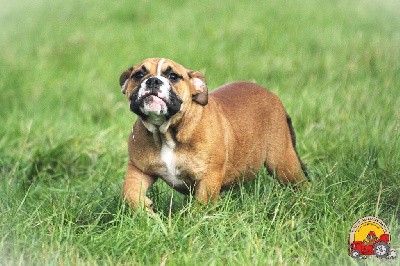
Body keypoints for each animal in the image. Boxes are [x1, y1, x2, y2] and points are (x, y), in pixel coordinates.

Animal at [119, 58, 310, 210]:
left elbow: (201, 206)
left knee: (300, 183)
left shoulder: (208, 177)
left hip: (282, 163)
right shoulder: (138, 168)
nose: (152, 81)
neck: (165, 132)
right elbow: (129, 192)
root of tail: (274, 97)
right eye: (138, 74)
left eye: (173, 76)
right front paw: (145, 211)